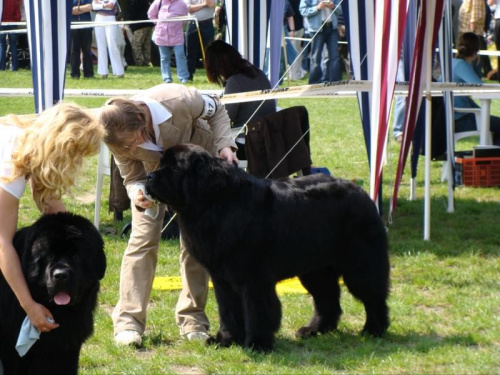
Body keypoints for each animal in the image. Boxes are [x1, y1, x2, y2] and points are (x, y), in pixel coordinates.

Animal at [145, 143, 390, 352]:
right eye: (160, 164)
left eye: (174, 167)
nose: (148, 176)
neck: (214, 202)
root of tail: (360, 192)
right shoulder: (222, 278)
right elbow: (228, 311)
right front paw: (226, 339)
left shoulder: (254, 277)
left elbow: (258, 310)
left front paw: (258, 344)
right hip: (315, 269)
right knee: (327, 299)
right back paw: (314, 330)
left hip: (360, 264)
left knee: (373, 295)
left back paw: (373, 330)